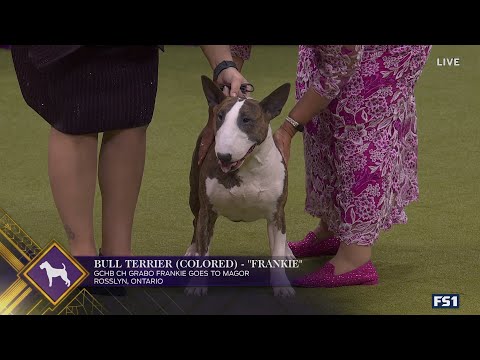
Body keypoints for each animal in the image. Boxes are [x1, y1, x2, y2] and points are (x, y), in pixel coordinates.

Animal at [186, 76, 294, 298]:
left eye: (246, 120)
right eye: (220, 116)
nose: (223, 156)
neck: (247, 168)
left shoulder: (276, 213)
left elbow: (277, 251)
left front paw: (282, 286)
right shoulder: (207, 211)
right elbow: (203, 247)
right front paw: (197, 284)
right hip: (194, 196)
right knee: (195, 222)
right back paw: (191, 250)